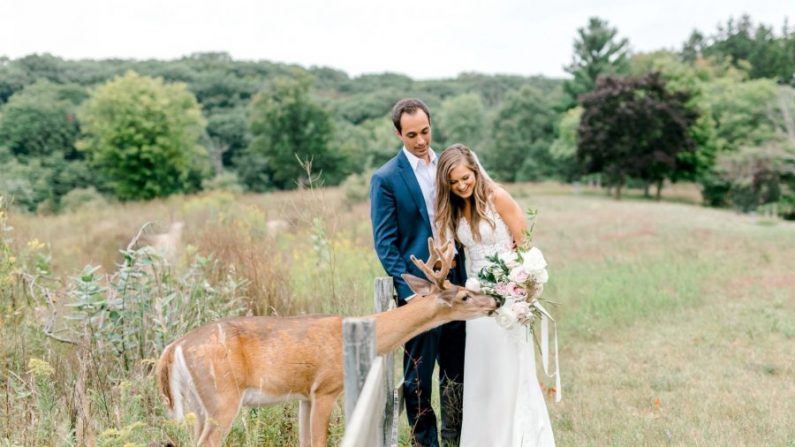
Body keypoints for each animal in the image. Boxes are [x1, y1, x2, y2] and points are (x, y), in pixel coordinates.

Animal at [155, 240, 498, 446]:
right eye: (464, 296)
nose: (495, 301)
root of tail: (173, 348)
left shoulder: (304, 395)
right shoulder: (326, 388)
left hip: (199, 405)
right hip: (222, 397)